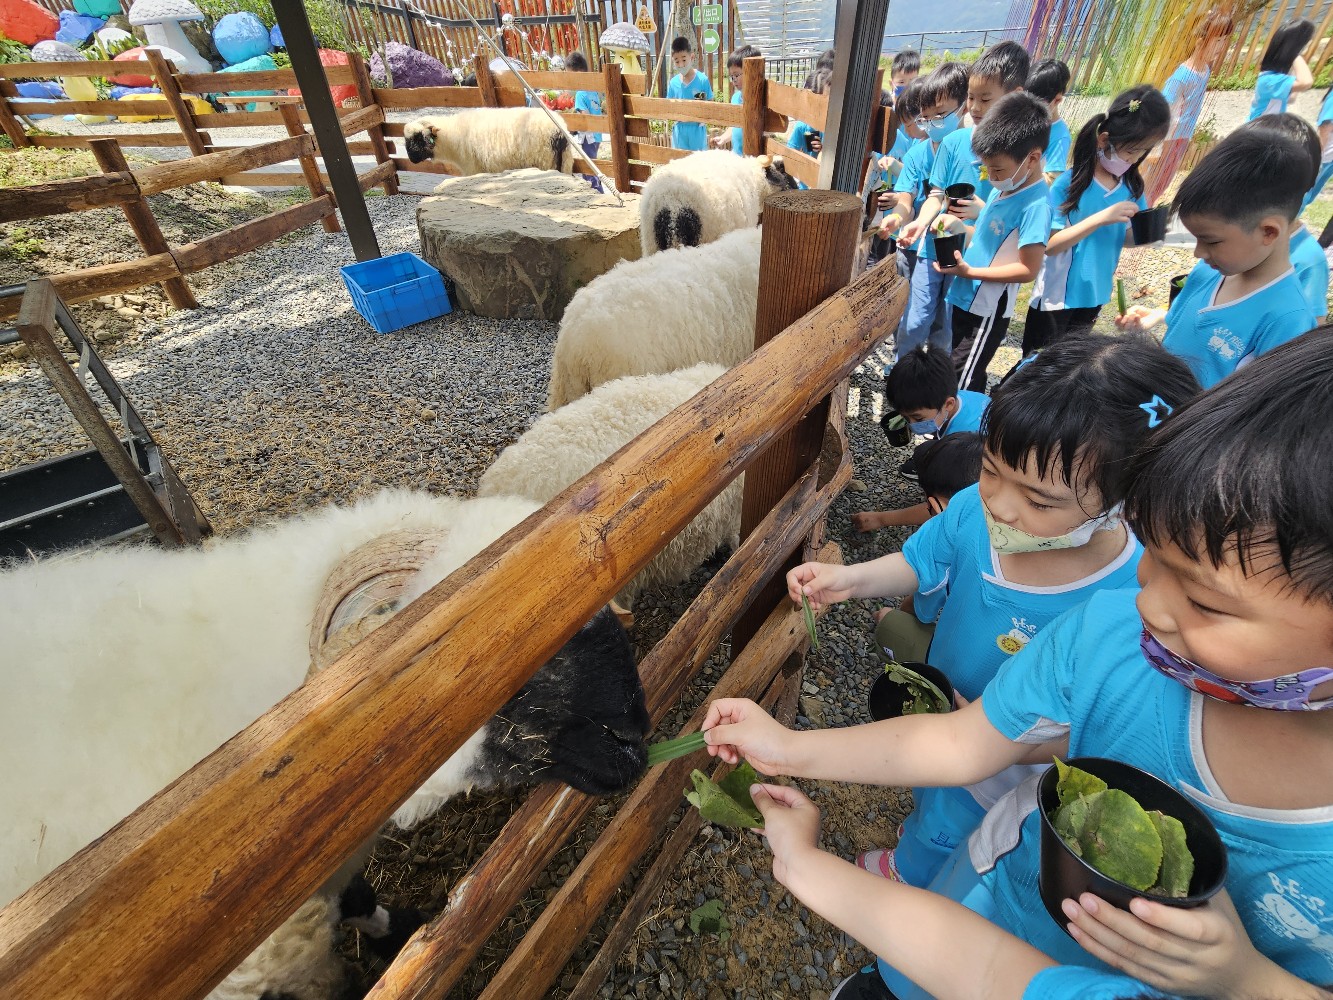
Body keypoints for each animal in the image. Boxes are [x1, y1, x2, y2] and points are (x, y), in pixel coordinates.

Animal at [403, 107, 574, 176]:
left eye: (419, 138)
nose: (411, 159)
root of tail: (559, 131)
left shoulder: (473, 168)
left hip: (545, 162)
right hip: (565, 162)